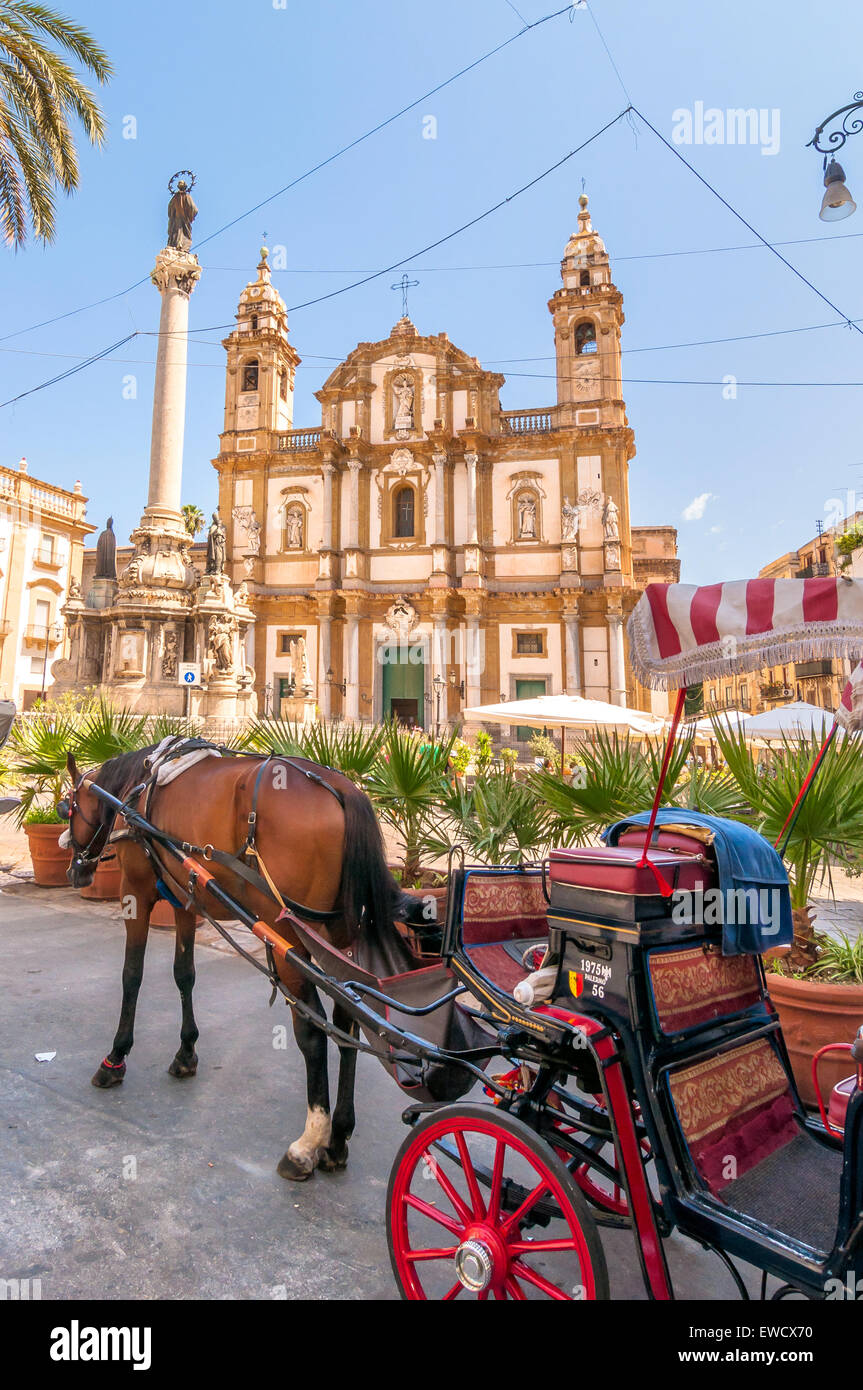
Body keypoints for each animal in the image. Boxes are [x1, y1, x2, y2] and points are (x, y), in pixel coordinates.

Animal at [63, 750, 419, 1184]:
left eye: (68, 808)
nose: (76, 868)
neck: (134, 790)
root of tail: (343, 789)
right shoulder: (186, 899)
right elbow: (184, 974)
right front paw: (186, 1052)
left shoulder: (136, 889)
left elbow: (132, 975)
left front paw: (115, 1059)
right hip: (338, 937)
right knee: (347, 1021)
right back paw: (336, 1141)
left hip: (286, 932)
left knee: (313, 1030)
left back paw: (306, 1145)